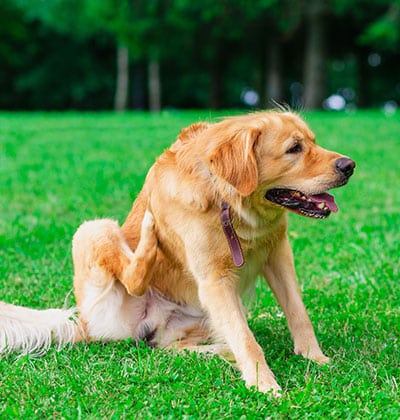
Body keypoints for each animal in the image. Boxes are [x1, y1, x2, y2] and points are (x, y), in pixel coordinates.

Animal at [1, 110, 354, 394]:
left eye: (313, 142)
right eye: (294, 149)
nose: (349, 166)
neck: (231, 204)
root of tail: (82, 324)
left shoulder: (278, 253)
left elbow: (297, 312)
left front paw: (314, 357)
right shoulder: (215, 281)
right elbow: (246, 339)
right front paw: (264, 384)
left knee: (172, 347)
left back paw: (222, 350)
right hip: (94, 230)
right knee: (134, 278)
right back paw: (148, 237)